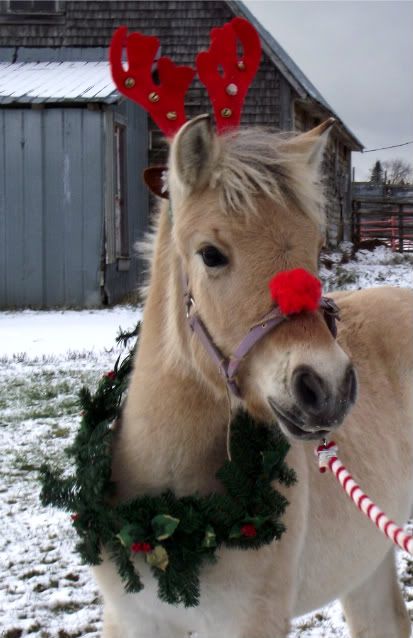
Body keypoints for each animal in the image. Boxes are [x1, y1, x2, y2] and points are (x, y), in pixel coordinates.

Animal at [92, 112, 412, 636]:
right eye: (210, 254)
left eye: (316, 247)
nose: (327, 388)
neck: (171, 521)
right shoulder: (132, 620)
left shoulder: (251, 621)